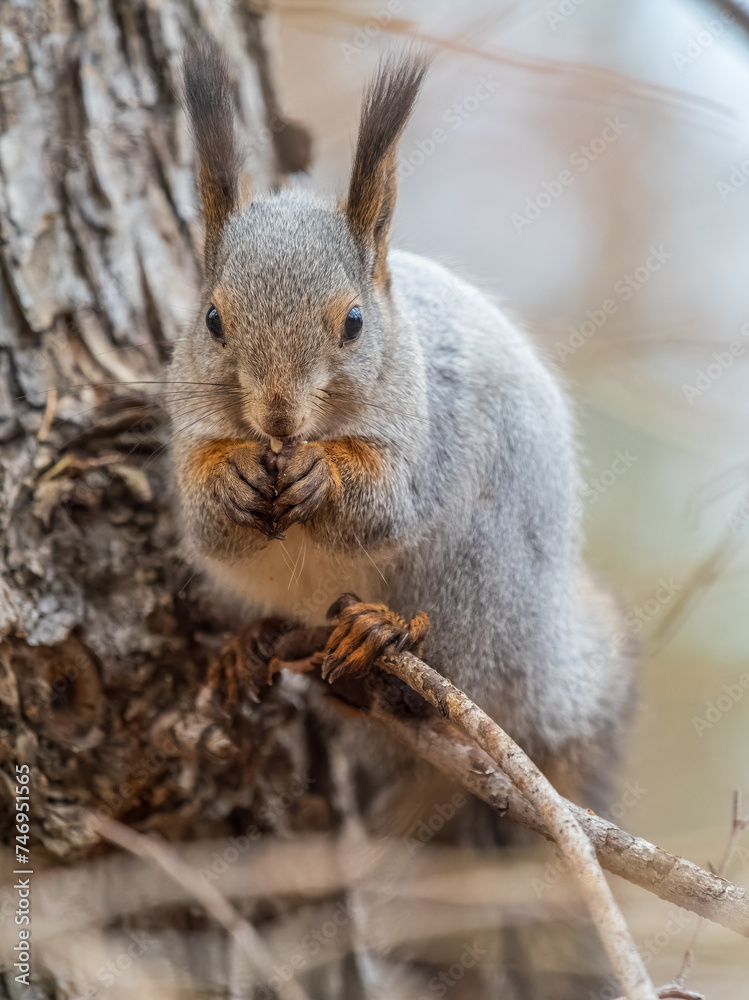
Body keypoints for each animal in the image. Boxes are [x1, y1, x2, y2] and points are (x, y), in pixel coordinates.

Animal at [169, 39, 634, 807]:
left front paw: (323, 475)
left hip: (477, 578)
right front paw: (231, 475)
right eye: (211, 320)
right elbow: (207, 521)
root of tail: (545, 679)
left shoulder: (429, 435)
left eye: (354, 322)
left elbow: (385, 506)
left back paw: (381, 636)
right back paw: (256, 645)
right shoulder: (190, 431)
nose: (277, 418)